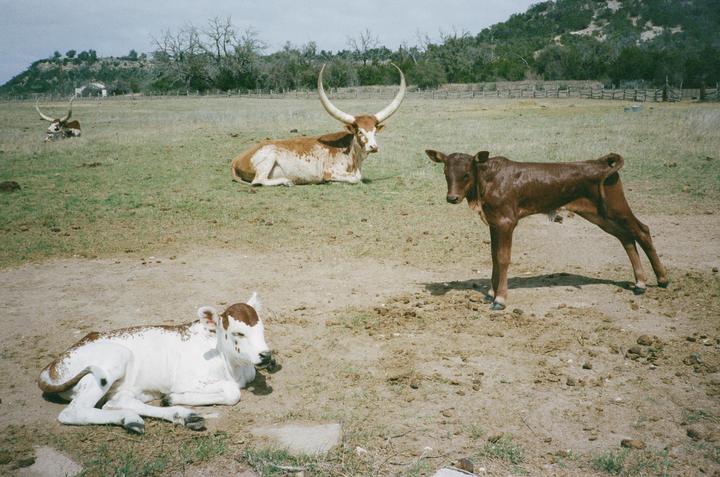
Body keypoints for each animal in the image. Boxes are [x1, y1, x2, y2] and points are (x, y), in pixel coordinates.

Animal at [38, 293, 275, 434]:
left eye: (261, 328)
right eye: (238, 333)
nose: (265, 355)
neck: (232, 366)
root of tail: (51, 367)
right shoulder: (185, 381)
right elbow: (231, 391)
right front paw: (173, 397)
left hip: (128, 388)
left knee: (115, 402)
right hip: (112, 362)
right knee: (74, 412)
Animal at [231, 64, 406, 186]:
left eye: (374, 130)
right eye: (360, 132)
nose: (373, 147)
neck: (352, 155)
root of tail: (236, 159)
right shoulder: (330, 171)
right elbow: (356, 178)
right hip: (268, 158)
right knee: (258, 180)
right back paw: (287, 181)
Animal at [426, 150, 669, 310]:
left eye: (466, 173)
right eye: (446, 173)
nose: (452, 198)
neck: (487, 182)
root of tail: (602, 162)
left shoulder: (506, 221)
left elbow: (503, 258)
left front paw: (500, 299)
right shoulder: (494, 222)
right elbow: (494, 256)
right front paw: (491, 293)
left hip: (616, 207)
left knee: (642, 230)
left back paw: (662, 279)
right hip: (599, 214)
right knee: (625, 237)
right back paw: (639, 283)